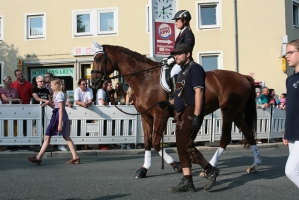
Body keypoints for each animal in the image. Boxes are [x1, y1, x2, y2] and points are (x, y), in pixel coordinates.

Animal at [91, 42, 262, 178]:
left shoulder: (159, 115)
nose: (93, 83)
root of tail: (243, 76)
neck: (146, 79)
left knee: (225, 138)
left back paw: (210, 168)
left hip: (228, 112)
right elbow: (147, 142)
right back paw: (254, 165)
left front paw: (177, 165)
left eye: (99, 59)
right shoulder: (146, 117)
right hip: (237, 113)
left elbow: (155, 143)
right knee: (249, 134)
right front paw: (144, 169)